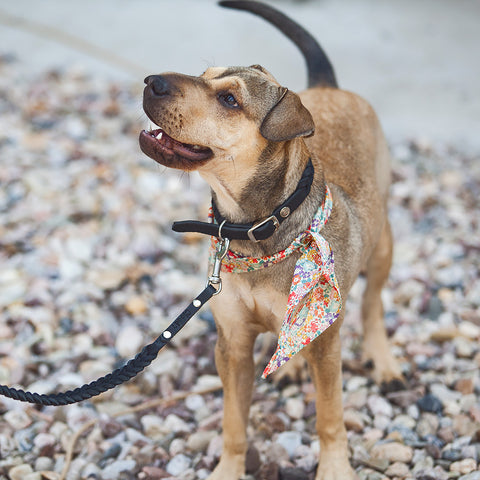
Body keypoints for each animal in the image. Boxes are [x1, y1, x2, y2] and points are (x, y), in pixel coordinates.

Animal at [139, 1, 404, 478]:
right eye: (203, 74)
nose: (152, 81)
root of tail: (328, 85)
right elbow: (233, 423)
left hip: (383, 242)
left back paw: (384, 359)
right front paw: (228, 469)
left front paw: (335, 468)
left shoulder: (325, 342)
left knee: (373, 304)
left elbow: (330, 417)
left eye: (229, 99)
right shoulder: (232, 344)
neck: (254, 229)